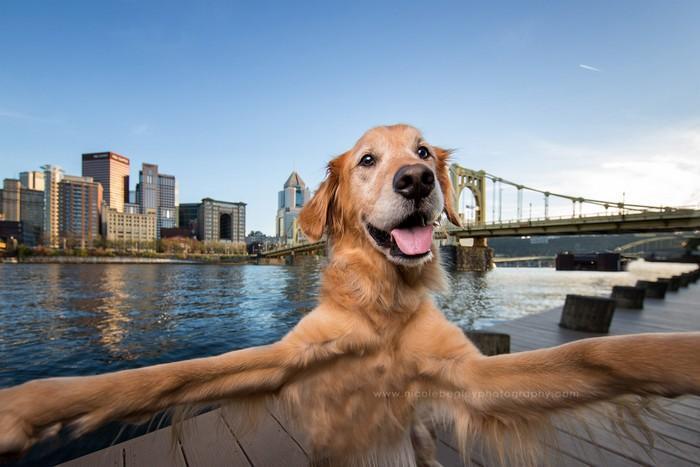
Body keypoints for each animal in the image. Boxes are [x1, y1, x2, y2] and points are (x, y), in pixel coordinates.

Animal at [1, 124, 700, 467]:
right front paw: (28, 409)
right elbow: (168, 375)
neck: (382, 307)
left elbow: (596, 355)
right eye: (366, 160)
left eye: (425, 152)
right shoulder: (283, 359)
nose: (418, 180)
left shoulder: (471, 378)